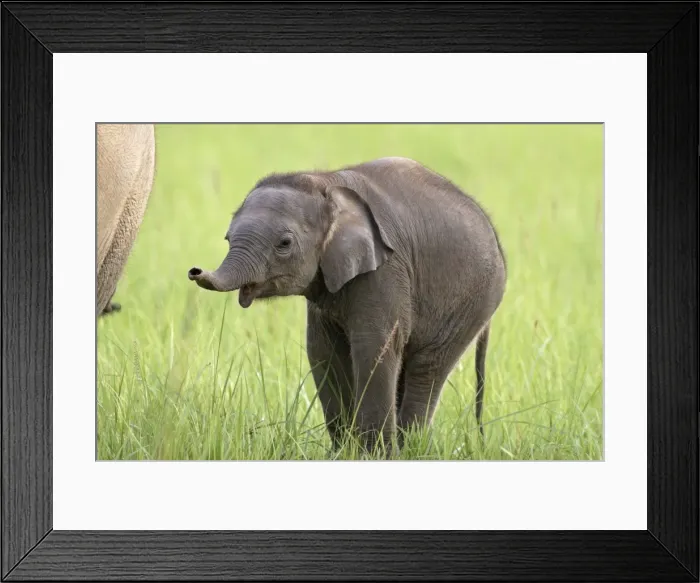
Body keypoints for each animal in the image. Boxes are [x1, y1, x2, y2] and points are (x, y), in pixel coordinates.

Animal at [188, 157, 507, 456]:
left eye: (284, 243)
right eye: (228, 238)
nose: (194, 271)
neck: (324, 183)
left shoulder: (386, 270)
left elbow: (373, 347)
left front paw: (375, 457)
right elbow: (323, 351)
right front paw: (342, 454)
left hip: (473, 302)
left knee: (427, 369)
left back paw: (409, 450)